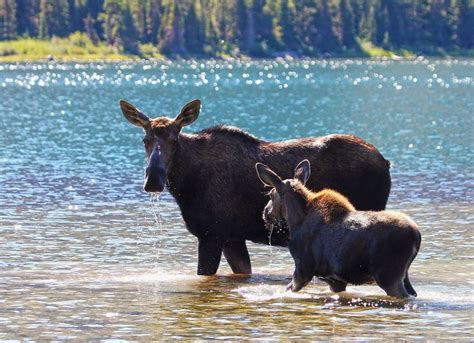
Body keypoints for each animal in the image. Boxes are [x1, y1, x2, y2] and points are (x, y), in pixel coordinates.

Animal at [120, 99, 390, 276]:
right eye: (145, 140)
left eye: (174, 141)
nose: (153, 180)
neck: (185, 185)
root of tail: (386, 162)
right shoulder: (231, 238)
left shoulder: (210, 235)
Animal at [256, 159, 422, 298]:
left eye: (270, 194)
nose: (265, 213)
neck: (295, 220)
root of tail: (417, 235)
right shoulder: (335, 281)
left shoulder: (303, 269)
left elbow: (288, 289)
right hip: (404, 276)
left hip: (389, 276)